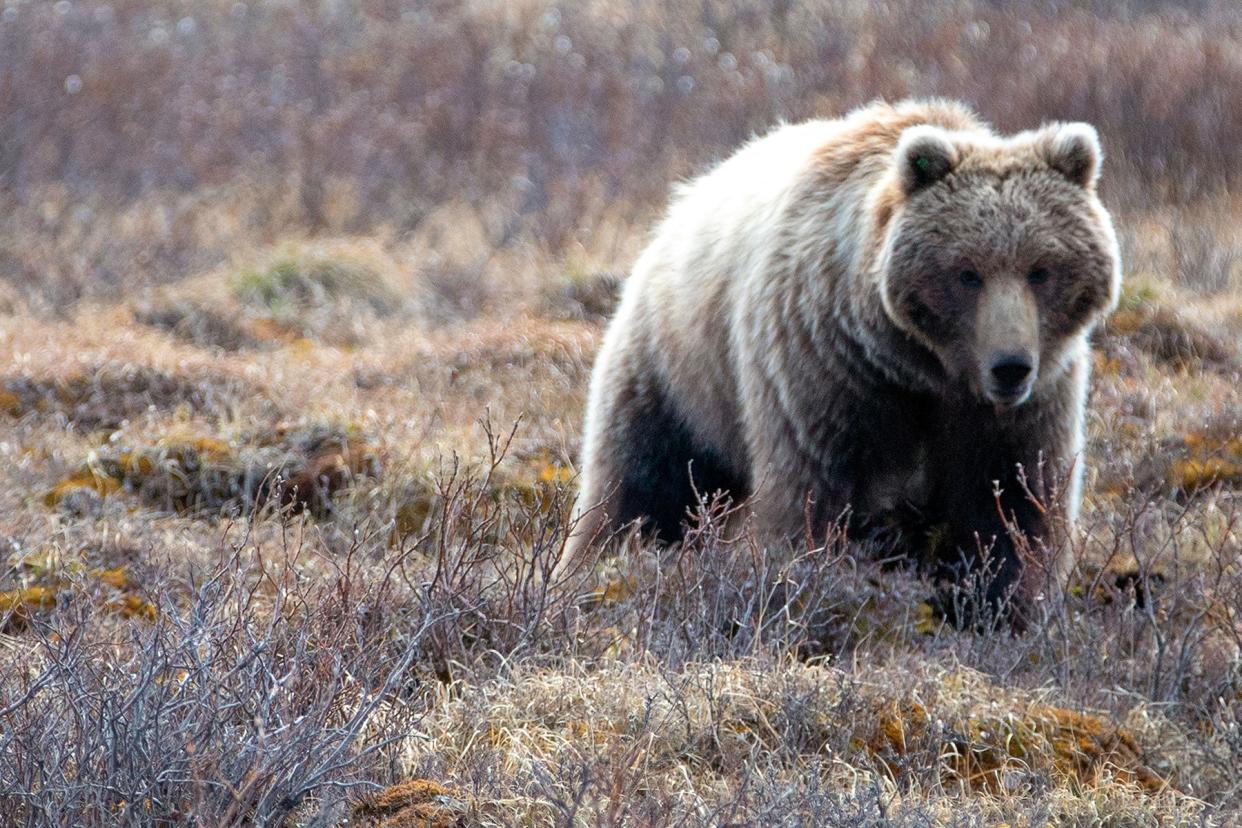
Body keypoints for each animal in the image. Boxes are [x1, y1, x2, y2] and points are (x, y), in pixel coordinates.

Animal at [571, 100, 1127, 625]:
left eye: (1041, 269)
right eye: (967, 272)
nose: (1010, 365)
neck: (922, 367)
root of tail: (684, 198)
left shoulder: (1021, 409)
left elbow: (1014, 505)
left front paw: (1000, 609)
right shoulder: (827, 369)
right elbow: (816, 495)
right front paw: (817, 587)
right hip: (677, 371)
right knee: (641, 486)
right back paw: (593, 572)